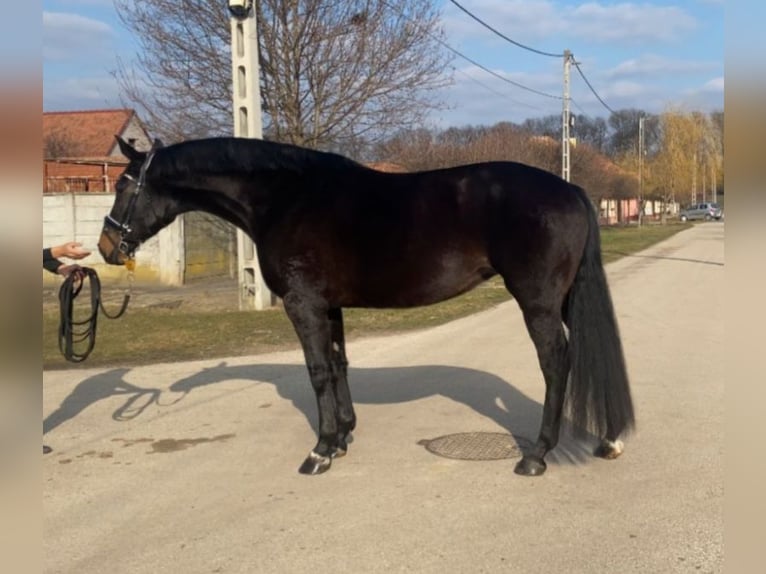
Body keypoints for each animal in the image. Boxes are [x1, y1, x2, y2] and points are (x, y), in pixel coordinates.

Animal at [97, 137, 636, 480]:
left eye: (123, 184)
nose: (106, 247)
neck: (286, 197)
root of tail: (571, 190)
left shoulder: (304, 305)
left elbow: (317, 371)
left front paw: (319, 452)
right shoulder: (328, 306)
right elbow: (338, 365)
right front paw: (342, 437)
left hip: (538, 301)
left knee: (557, 363)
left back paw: (537, 455)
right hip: (564, 298)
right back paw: (608, 439)